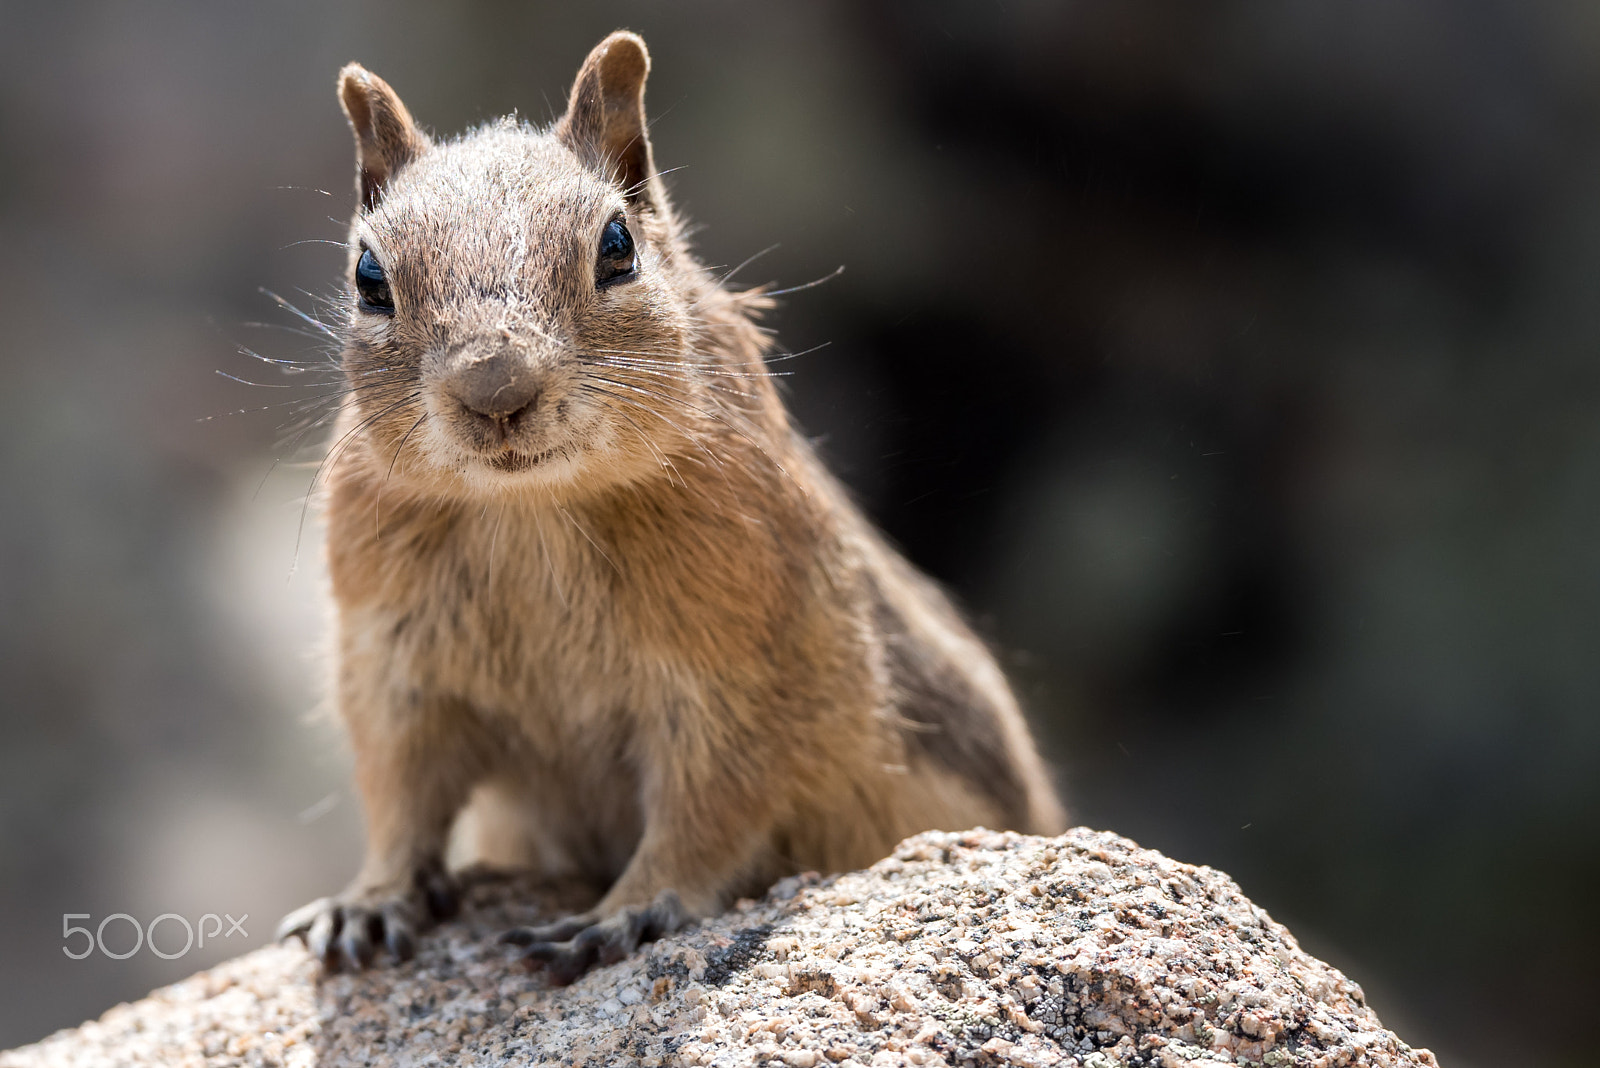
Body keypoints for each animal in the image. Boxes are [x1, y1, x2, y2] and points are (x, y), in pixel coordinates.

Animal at [281, 29, 1068, 978]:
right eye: (369, 276)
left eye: (617, 245)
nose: (495, 389)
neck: (529, 512)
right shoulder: (390, 663)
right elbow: (400, 793)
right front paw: (367, 898)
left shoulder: (747, 671)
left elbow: (708, 811)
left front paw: (622, 913)